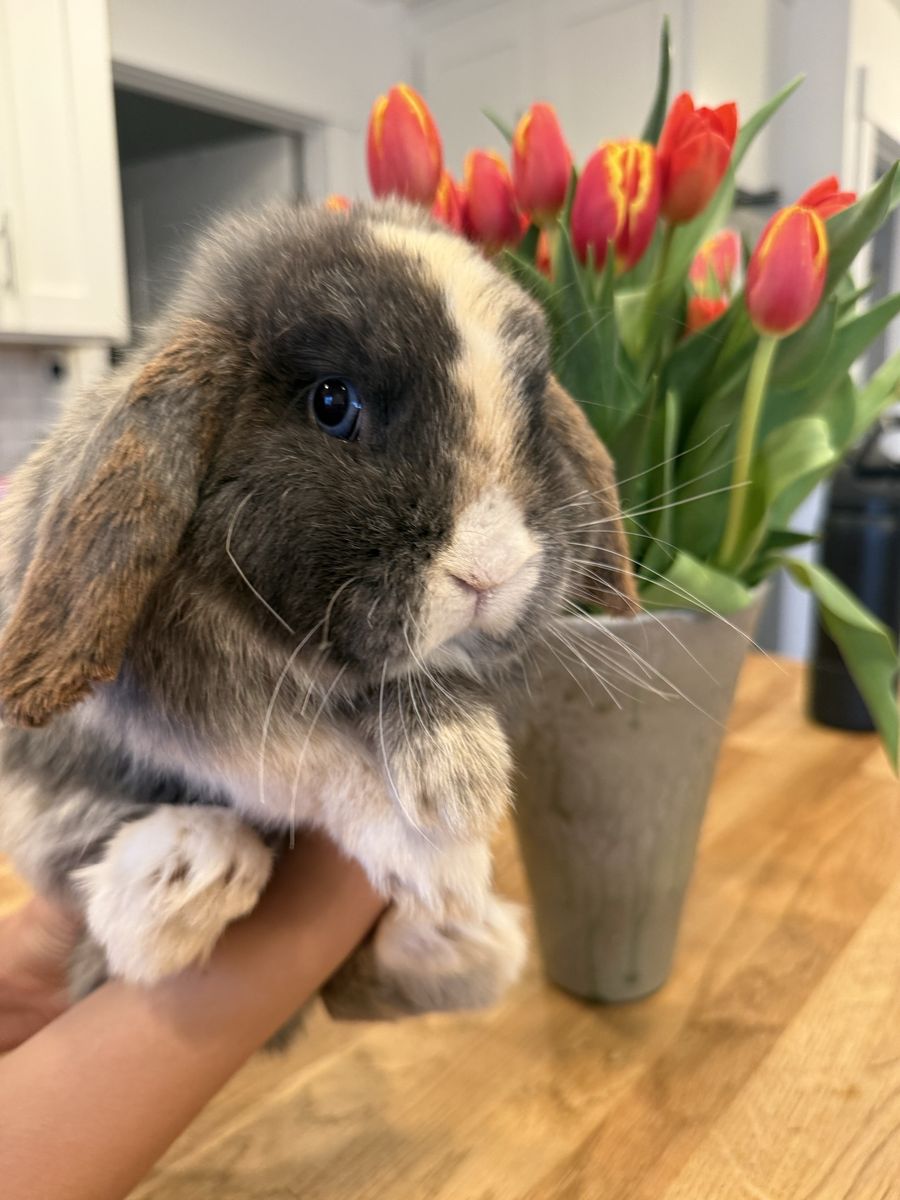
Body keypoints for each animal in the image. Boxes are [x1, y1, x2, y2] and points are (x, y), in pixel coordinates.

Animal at [0, 200, 636, 1020]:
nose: (491, 571)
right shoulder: (198, 705)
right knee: (116, 932)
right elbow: (313, 759)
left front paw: (455, 777)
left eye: (534, 418)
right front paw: (445, 838)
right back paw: (185, 873)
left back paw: (460, 944)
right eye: (333, 403)